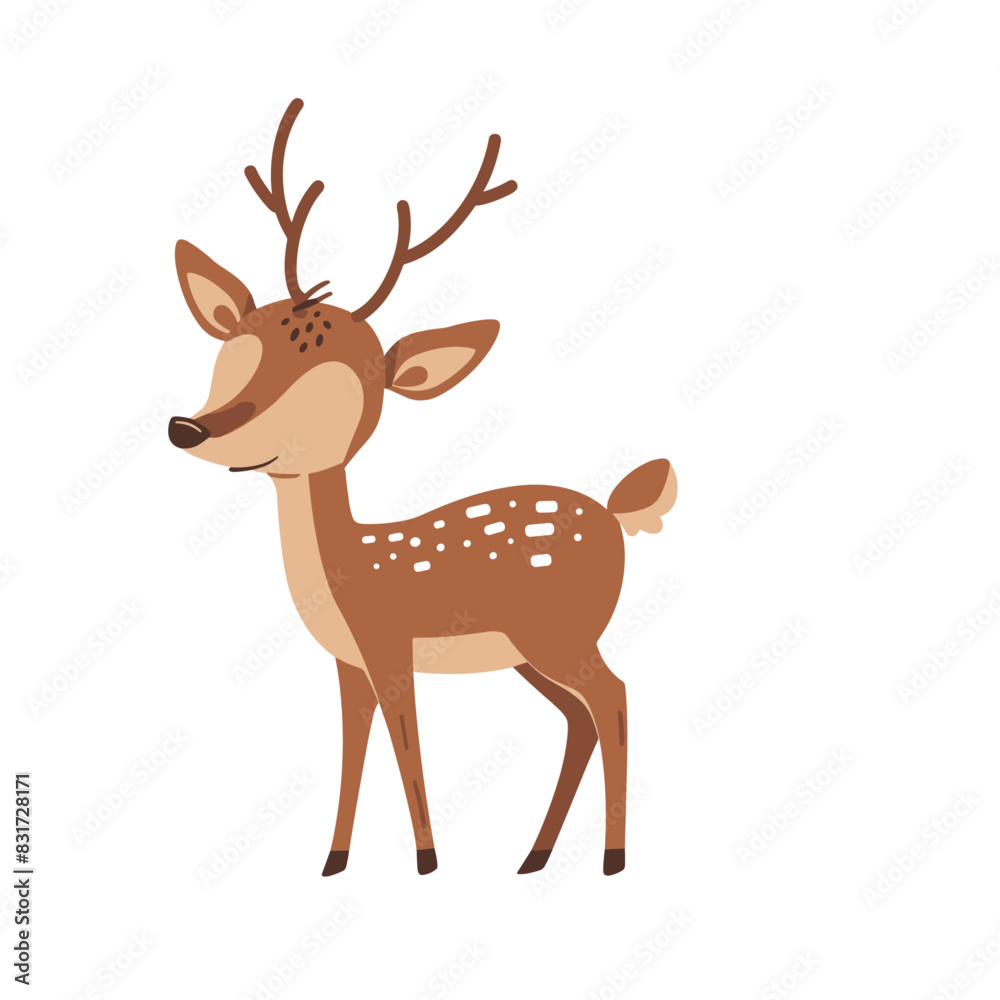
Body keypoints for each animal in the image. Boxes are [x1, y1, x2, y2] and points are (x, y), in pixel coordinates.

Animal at [168, 99, 677, 877]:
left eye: (333, 386)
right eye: (233, 352)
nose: (190, 427)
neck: (344, 576)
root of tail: (618, 514)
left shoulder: (389, 645)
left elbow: (407, 742)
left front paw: (427, 861)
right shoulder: (346, 663)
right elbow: (352, 748)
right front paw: (335, 860)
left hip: (561, 630)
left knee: (613, 698)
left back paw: (612, 859)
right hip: (530, 650)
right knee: (578, 718)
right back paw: (533, 855)